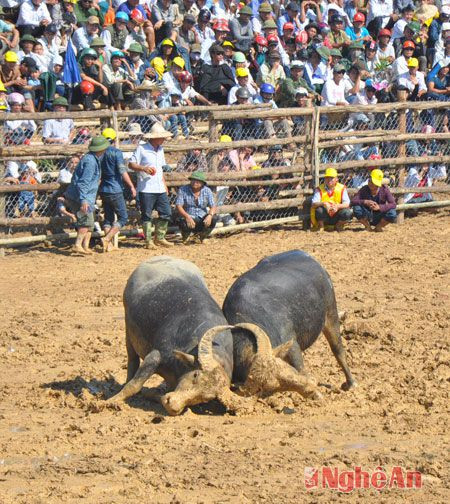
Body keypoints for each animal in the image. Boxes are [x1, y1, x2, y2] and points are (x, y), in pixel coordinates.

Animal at [108, 258, 243, 416]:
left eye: (206, 397)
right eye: (195, 375)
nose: (172, 405)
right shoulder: (156, 355)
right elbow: (135, 384)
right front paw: (110, 401)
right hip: (128, 330)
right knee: (132, 360)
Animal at [223, 250, 356, 400]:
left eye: (284, 369)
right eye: (272, 387)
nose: (311, 387)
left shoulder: (292, 344)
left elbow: (301, 367)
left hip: (331, 313)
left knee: (338, 349)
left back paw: (350, 384)